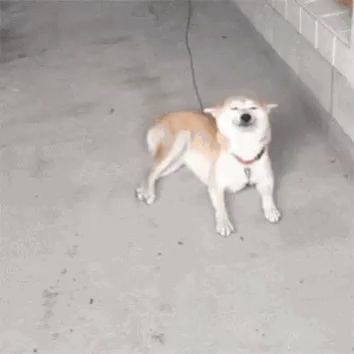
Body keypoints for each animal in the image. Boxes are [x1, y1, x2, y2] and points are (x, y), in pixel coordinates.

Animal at [135, 95, 280, 236]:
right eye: (234, 108)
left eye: (253, 108)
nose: (246, 116)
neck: (245, 150)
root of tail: (162, 117)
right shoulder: (215, 185)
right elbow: (221, 205)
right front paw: (223, 222)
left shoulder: (267, 180)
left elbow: (268, 195)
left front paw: (271, 209)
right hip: (179, 143)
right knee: (151, 171)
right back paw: (148, 192)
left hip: (176, 163)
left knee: (155, 174)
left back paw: (143, 189)